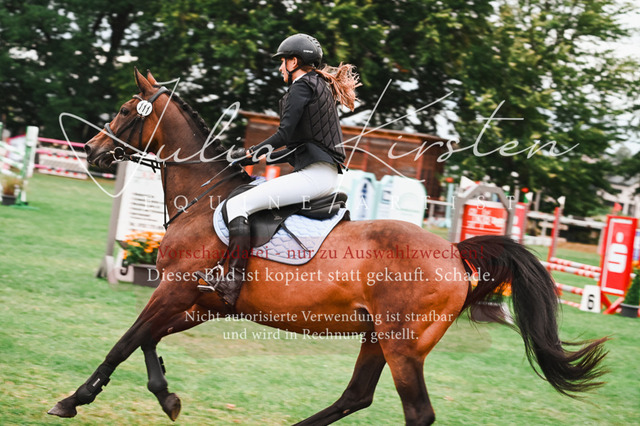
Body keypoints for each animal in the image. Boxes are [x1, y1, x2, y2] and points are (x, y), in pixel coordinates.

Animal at [49, 69, 608, 425]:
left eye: (126, 110)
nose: (93, 152)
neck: (203, 199)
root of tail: (455, 254)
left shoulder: (174, 291)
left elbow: (125, 342)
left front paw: (73, 400)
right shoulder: (197, 301)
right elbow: (147, 341)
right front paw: (166, 396)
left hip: (401, 344)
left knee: (416, 412)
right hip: (377, 337)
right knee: (356, 396)